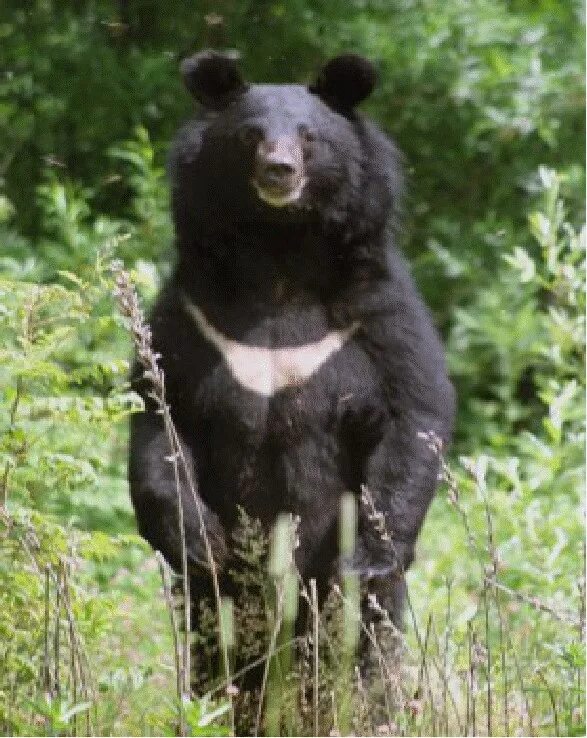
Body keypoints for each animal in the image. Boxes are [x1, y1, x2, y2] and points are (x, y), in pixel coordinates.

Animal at [131, 50, 458, 680]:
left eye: (309, 136)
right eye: (250, 135)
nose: (278, 170)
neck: (279, 253)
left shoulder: (381, 314)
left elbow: (414, 413)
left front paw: (367, 557)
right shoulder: (189, 317)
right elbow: (162, 416)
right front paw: (198, 538)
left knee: (364, 641)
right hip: (222, 608)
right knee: (221, 639)